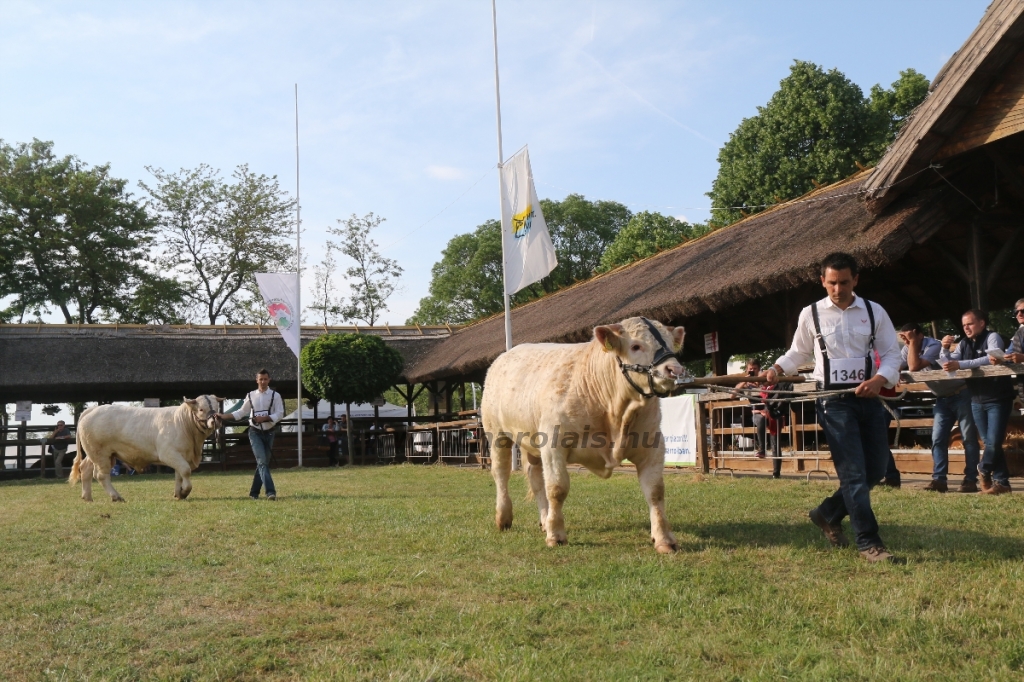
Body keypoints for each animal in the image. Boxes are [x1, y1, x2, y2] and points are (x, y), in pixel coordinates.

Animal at [69, 395, 222, 501]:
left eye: (217, 407)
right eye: (201, 409)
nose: (215, 420)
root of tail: (92, 409)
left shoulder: (181, 455)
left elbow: (179, 475)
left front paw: (178, 493)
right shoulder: (168, 453)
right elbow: (185, 470)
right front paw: (185, 492)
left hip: (95, 454)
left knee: (85, 469)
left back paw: (87, 497)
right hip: (100, 454)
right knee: (101, 475)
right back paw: (116, 497)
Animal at [479, 315, 688, 548]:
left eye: (671, 345)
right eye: (636, 346)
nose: (675, 370)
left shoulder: (653, 445)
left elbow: (655, 491)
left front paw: (664, 539)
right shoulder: (553, 443)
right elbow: (557, 488)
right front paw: (556, 535)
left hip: (531, 439)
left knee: (535, 477)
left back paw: (544, 520)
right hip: (496, 434)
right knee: (501, 473)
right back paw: (504, 517)